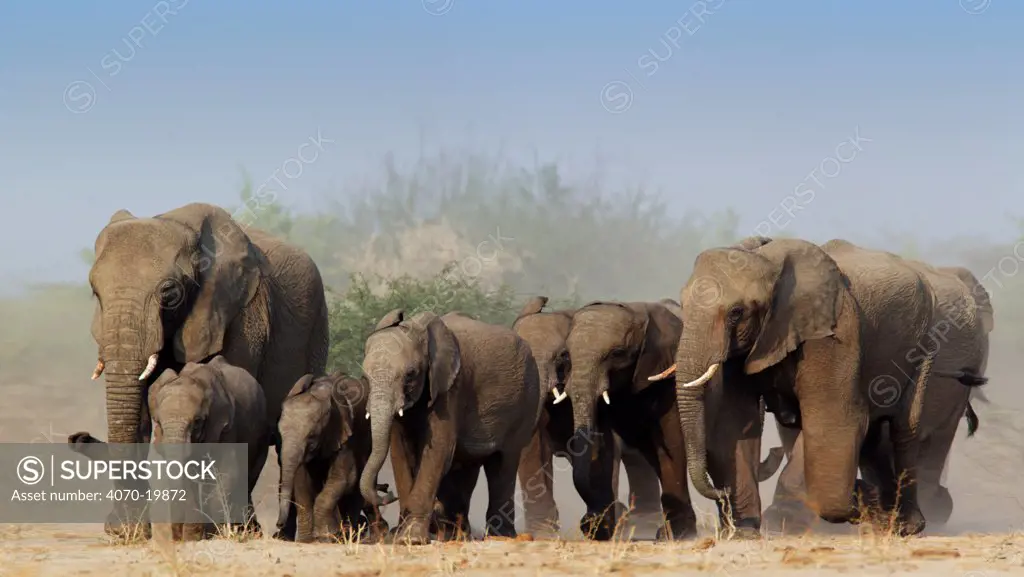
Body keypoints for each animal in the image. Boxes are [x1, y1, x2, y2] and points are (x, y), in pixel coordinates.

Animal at [88, 201, 329, 537]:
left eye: (169, 292)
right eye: (95, 292)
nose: (119, 529)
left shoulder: (240, 315)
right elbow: (140, 413)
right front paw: (129, 532)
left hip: (316, 329)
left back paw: (272, 533)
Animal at [274, 373, 393, 545]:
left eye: (312, 437)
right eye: (280, 435)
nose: (278, 524)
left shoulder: (347, 438)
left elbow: (343, 479)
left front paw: (323, 537)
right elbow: (301, 483)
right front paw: (306, 540)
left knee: (355, 487)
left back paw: (347, 536)